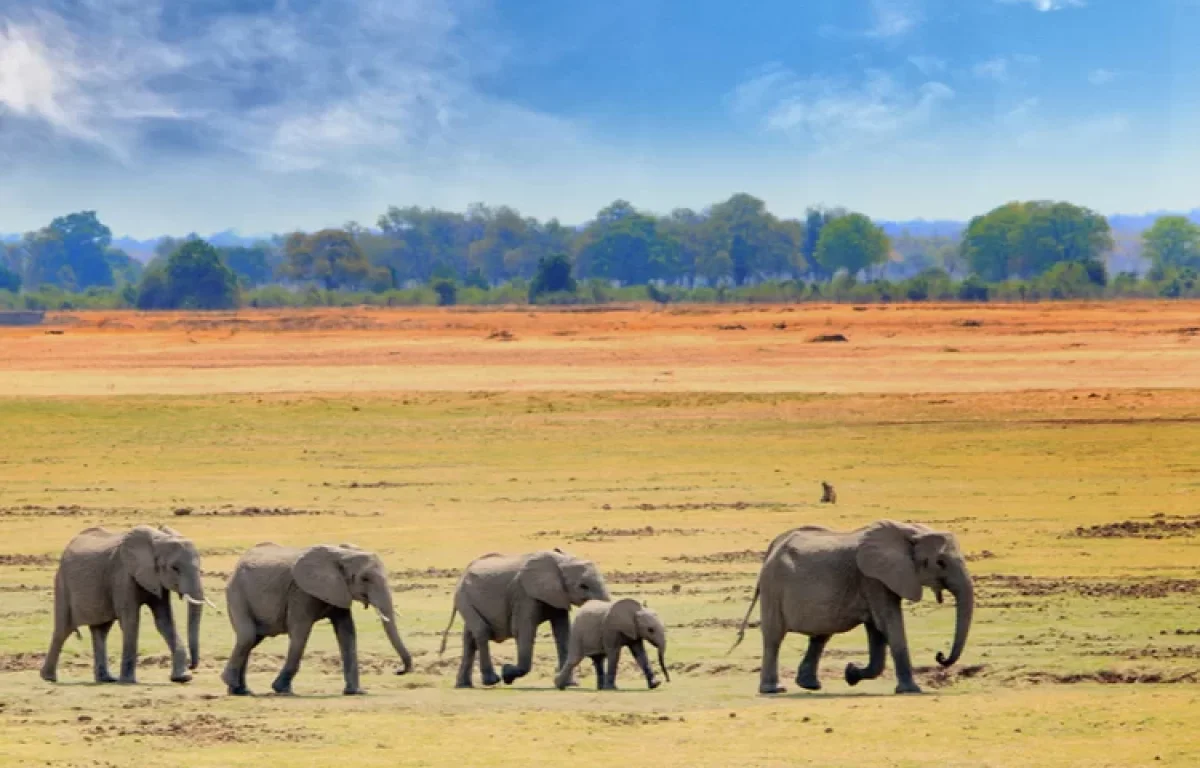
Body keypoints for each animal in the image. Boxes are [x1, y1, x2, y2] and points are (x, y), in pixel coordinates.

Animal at [39, 523, 213, 681]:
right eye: (174, 568)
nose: (192, 666)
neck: (158, 540)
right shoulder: (123, 575)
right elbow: (131, 620)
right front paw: (128, 681)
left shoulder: (156, 580)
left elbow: (165, 621)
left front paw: (182, 677)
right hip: (62, 583)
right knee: (63, 630)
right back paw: (48, 678)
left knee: (100, 631)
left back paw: (107, 679)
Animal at [220, 540, 412, 696]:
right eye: (365, 579)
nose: (398, 671)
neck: (342, 554)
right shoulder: (301, 591)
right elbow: (300, 631)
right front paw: (282, 690)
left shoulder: (338, 590)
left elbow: (347, 632)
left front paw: (356, 692)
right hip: (236, 593)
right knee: (248, 636)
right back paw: (233, 685)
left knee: (252, 639)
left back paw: (240, 691)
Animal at [439, 549, 609, 686]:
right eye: (583, 586)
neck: (560, 561)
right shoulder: (524, 595)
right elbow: (523, 631)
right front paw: (507, 673)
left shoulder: (557, 595)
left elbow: (562, 632)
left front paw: (570, 684)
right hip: (463, 597)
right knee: (481, 631)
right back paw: (491, 681)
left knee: (469, 639)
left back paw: (463, 685)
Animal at [729, 523, 974, 696]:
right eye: (940, 563)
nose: (940, 656)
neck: (909, 532)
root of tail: (772, 548)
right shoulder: (872, 578)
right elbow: (888, 622)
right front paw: (911, 691)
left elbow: (877, 629)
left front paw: (851, 674)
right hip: (773, 588)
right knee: (774, 637)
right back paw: (774, 689)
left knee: (821, 635)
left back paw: (810, 685)